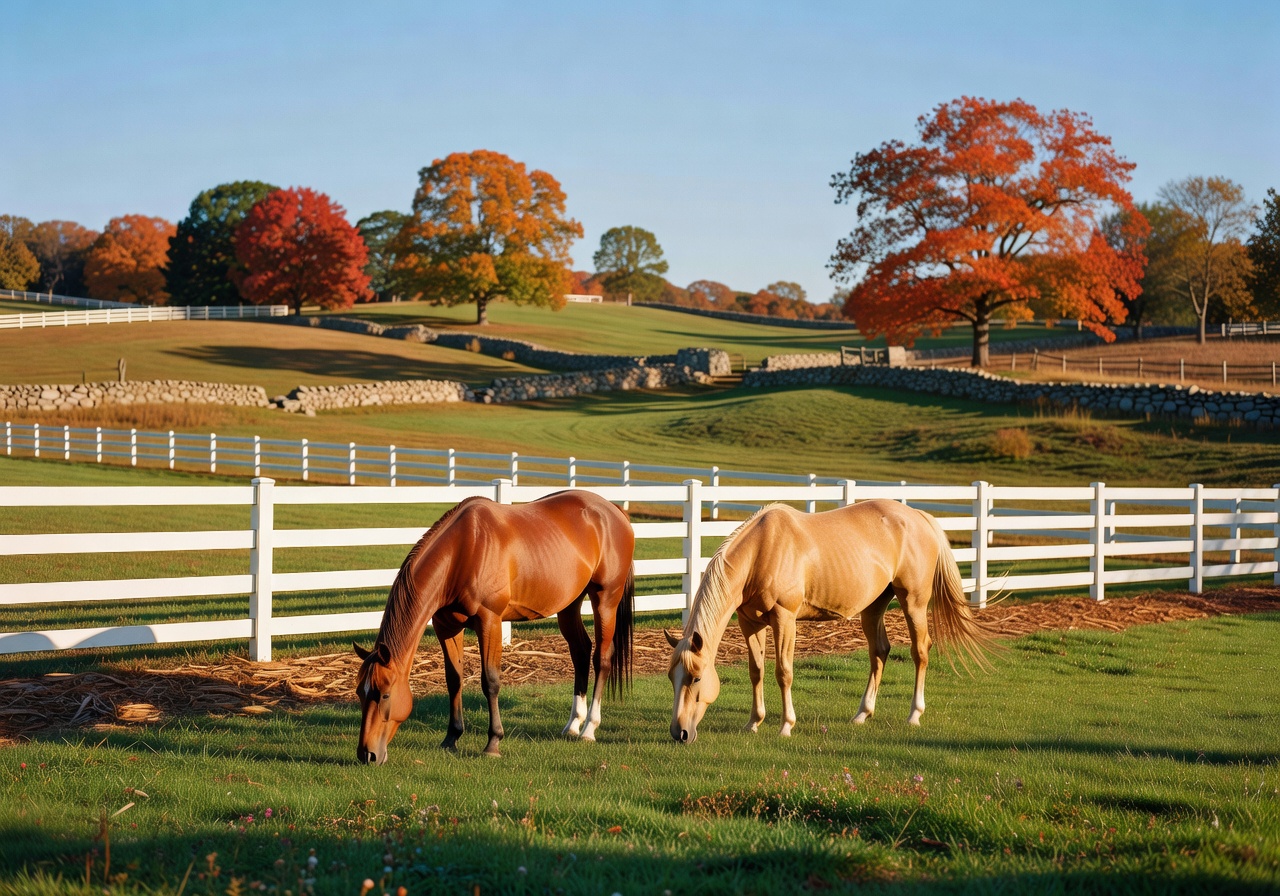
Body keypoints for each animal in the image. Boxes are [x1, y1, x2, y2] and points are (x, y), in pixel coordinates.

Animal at [355, 490, 635, 763]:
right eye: (359, 692)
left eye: (384, 694)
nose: (367, 754)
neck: (464, 550)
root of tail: (613, 510)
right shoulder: (446, 626)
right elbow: (454, 680)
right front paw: (451, 738)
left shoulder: (489, 621)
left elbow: (490, 681)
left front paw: (493, 743)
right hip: (570, 603)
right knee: (580, 651)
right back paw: (573, 724)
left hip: (605, 598)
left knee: (601, 658)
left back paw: (589, 729)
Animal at [665, 499, 994, 743]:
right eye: (671, 677)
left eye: (696, 678)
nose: (680, 733)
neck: (762, 550)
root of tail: (918, 517)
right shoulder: (750, 623)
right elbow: (756, 671)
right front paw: (753, 723)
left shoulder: (785, 619)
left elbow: (783, 672)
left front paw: (786, 725)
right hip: (873, 607)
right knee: (879, 652)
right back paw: (862, 714)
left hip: (913, 602)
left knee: (920, 651)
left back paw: (914, 714)